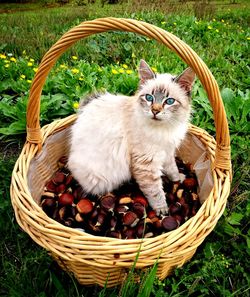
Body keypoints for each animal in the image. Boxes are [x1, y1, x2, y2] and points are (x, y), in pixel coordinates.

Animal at [68, 59, 195, 213]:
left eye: (169, 101)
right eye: (149, 98)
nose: (155, 111)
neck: (164, 129)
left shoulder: (167, 152)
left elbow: (173, 169)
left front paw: (178, 179)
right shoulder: (147, 163)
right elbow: (155, 191)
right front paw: (162, 211)